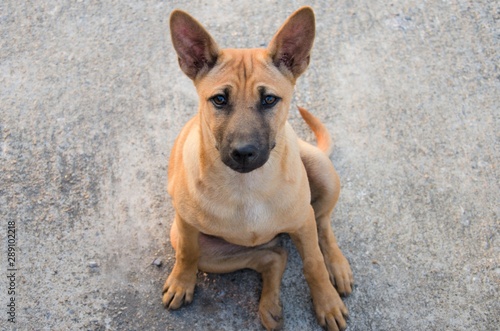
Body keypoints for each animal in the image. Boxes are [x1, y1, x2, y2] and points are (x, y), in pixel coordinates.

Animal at [164, 5, 352, 331]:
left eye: (269, 99)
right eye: (219, 99)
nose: (243, 153)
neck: (247, 187)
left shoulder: (303, 222)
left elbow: (314, 263)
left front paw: (327, 303)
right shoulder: (185, 226)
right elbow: (187, 255)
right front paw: (181, 283)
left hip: (322, 173)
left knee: (323, 225)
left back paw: (337, 267)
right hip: (202, 248)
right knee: (272, 257)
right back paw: (270, 307)